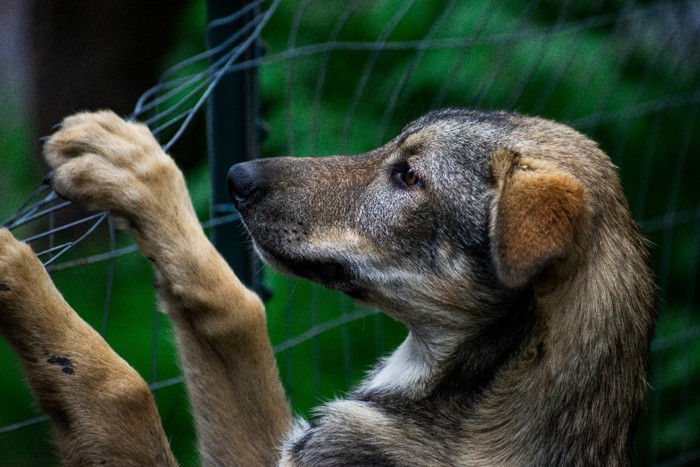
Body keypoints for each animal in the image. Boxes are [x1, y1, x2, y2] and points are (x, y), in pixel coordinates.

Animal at [0, 109, 656, 464]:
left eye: (408, 176)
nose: (237, 177)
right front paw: (134, 168)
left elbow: (122, 388)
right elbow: (237, 308)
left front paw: (11, 259)